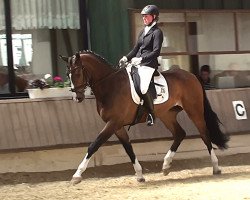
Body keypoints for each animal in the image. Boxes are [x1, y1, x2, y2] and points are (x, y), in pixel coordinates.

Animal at [60, 51, 229, 184]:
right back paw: (166, 166)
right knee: (180, 133)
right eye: (68, 74)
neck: (110, 85)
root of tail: (192, 75)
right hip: (167, 114)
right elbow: (128, 148)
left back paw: (216, 167)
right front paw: (140, 175)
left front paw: (76, 176)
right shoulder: (117, 125)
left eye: (77, 72)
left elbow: (94, 145)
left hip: (194, 111)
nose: (77, 97)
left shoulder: (113, 123)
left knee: (204, 134)